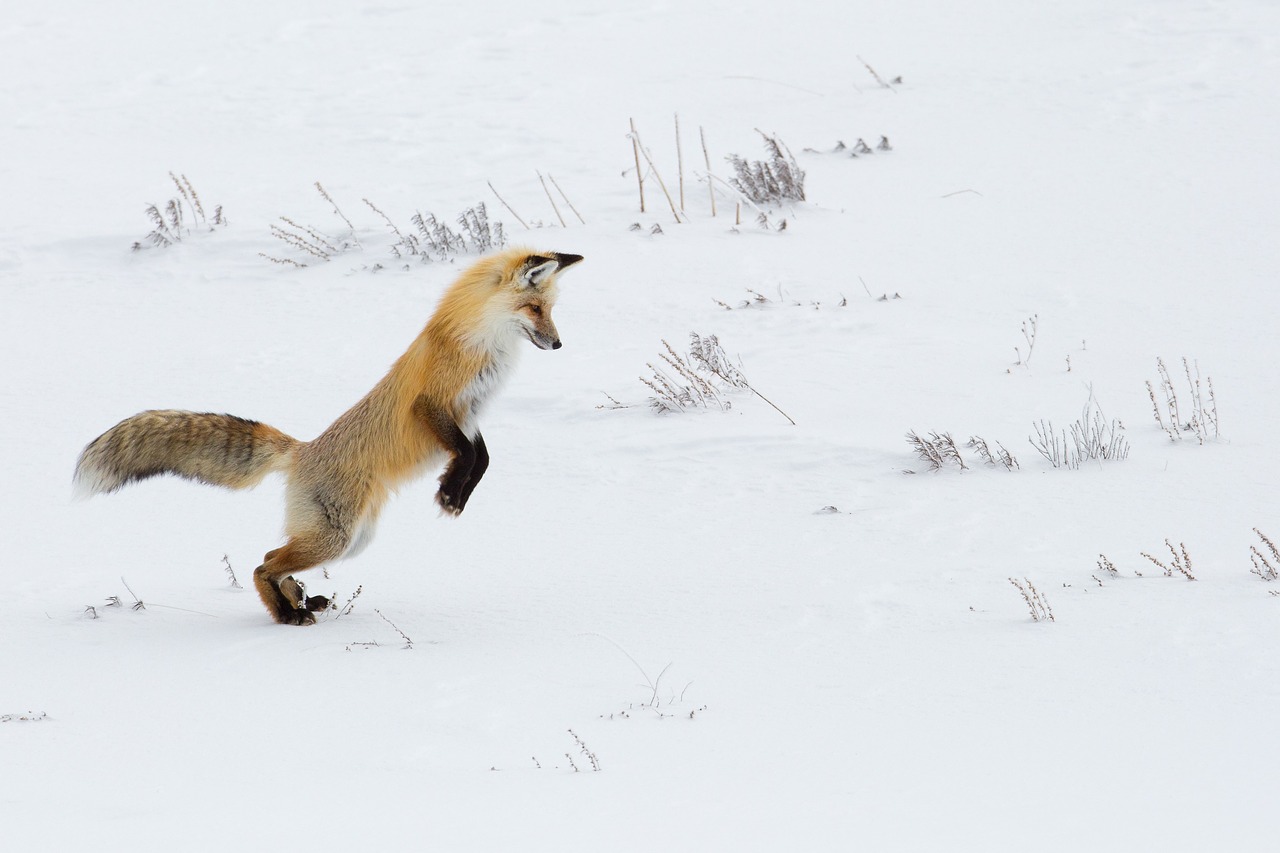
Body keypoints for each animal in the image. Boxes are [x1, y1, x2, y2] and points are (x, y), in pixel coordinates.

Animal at [74, 245, 586, 625]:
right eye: (534, 308)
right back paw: (288, 613)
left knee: (271, 555)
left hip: (353, 538)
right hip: (337, 537)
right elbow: (467, 454)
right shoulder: (434, 405)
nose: (560, 344)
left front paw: (454, 492)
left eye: (550, 310)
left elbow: (481, 458)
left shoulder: (471, 415)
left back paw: (300, 600)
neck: (481, 344)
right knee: (262, 563)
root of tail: (302, 451)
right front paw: (449, 493)